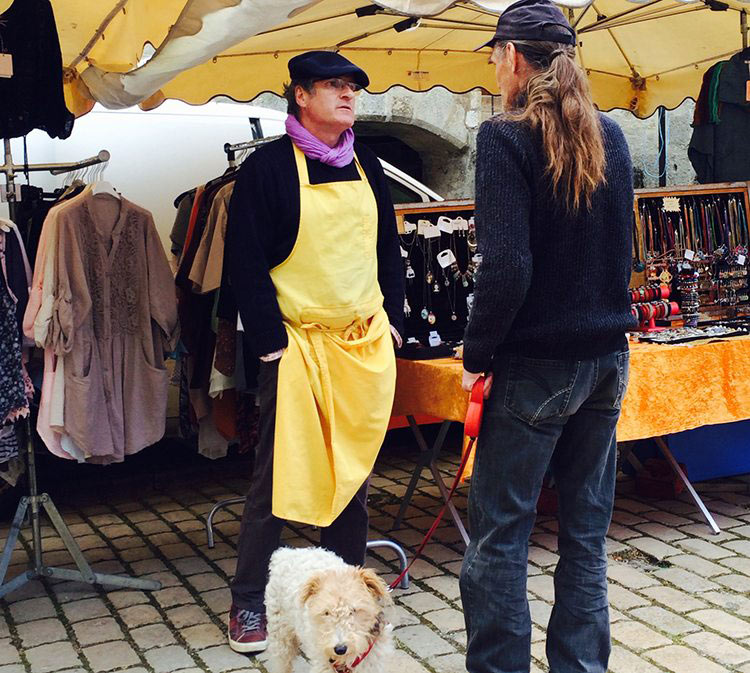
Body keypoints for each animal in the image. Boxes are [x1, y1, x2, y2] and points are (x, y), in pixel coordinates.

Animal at [266, 544, 396, 672]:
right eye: (326, 613)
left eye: (353, 610)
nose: (340, 649)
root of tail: (285, 553)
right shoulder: (322, 664)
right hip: (280, 638)